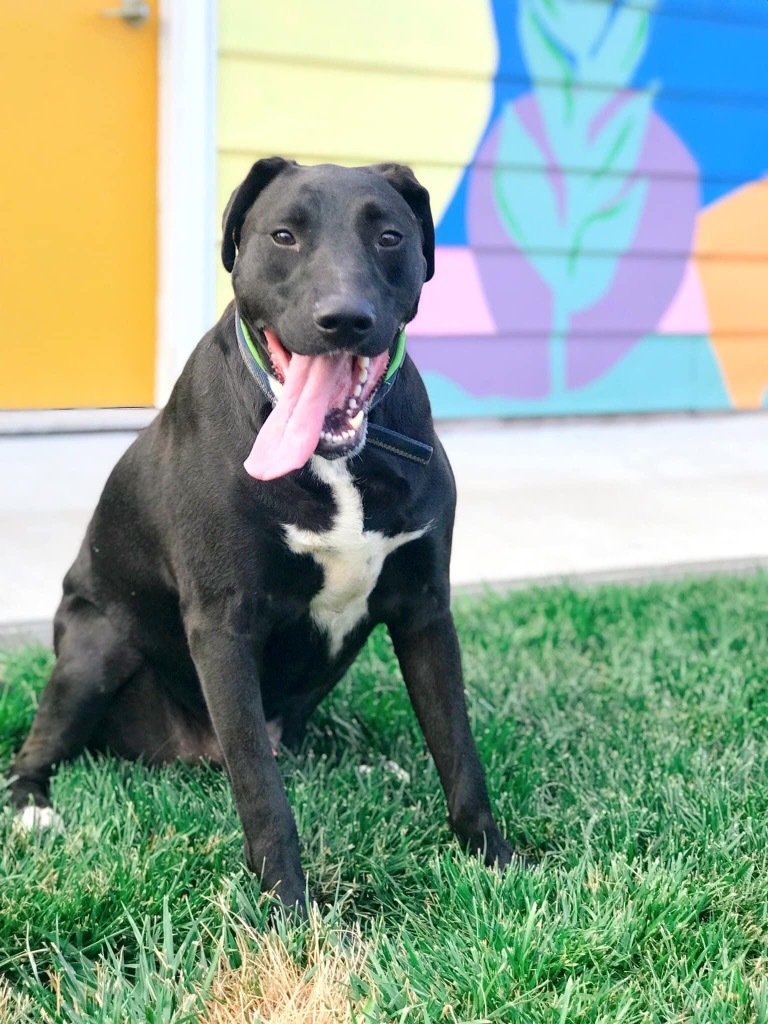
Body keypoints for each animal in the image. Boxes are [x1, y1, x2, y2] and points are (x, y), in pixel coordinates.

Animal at [9, 157, 514, 905]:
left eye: (390, 236)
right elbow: (262, 791)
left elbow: (458, 748)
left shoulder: (425, 608)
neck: (335, 460)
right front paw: (288, 907)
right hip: (95, 648)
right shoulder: (224, 625)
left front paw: (497, 861)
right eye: (283, 235)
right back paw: (34, 808)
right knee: (39, 745)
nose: (344, 319)